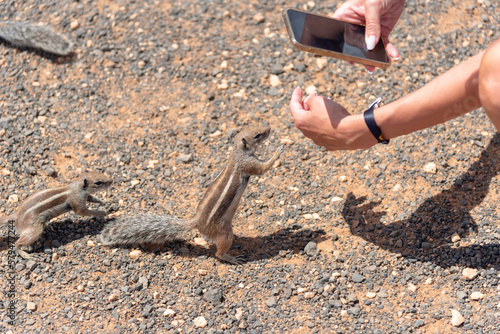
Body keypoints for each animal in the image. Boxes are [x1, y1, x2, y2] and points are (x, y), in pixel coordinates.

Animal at [99, 125, 284, 264]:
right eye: (257, 135)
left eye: (256, 127)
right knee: (219, 253)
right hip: (224, 233)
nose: (269, 128)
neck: (238, 152)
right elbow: (262, 168)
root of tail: (197, 222)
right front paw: (277, 152)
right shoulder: (248, 164)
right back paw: (231, 258)